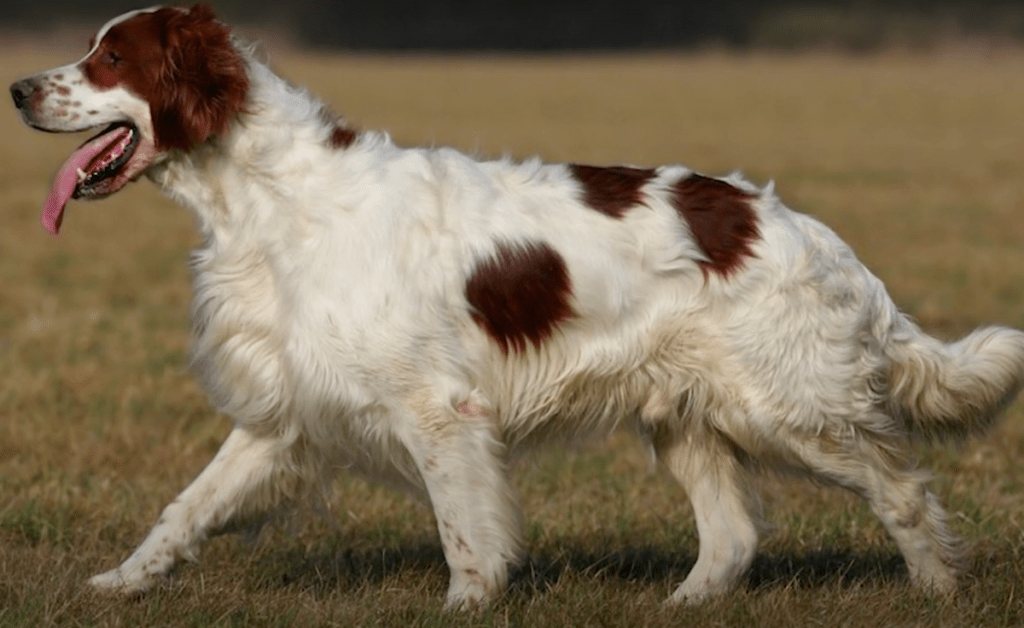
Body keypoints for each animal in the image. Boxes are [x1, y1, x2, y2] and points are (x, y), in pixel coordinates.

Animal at [8, 2, 1024, 606]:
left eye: (109, 56)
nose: (17, 86)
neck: (270, 199)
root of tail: (807, 231)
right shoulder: (285, 410)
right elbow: (185, 509)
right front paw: (117, 584)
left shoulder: (438, 410)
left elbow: (466, 533)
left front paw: (466, 607)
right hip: (688, 417)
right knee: (733, 536)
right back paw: (680, 607)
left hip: (790, 407)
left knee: (901, 490)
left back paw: (938, 591)